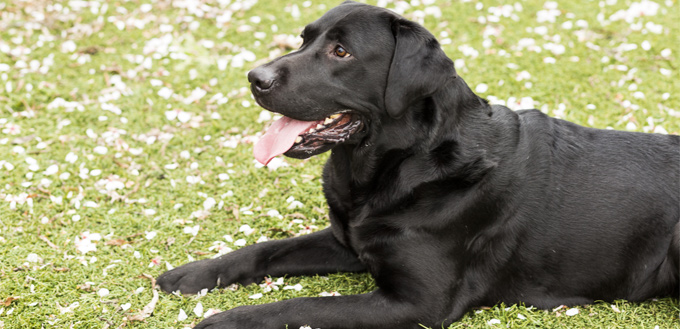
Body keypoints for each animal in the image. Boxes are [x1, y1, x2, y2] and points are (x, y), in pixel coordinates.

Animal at [157, 1, 676, 326]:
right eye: (304, 40)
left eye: (341, 51)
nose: (255, 77)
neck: (397, 168)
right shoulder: (349, 241)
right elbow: (266, 249)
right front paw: (193, 275)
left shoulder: (417, 303)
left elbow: (296, 308)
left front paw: (225, 319)